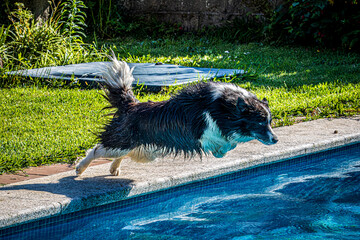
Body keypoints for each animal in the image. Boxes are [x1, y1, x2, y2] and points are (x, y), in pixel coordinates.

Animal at [76, 54, 278, 176]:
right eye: (261, 123)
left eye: (269, 122)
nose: (276, 139)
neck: (224, 106)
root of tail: (131, 105)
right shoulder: (202, 132)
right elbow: (227, 143)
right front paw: (219, 152)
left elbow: (231, 144)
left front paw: (220, 152)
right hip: (123, 142)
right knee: (97, 149)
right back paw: (80, 168)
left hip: (144, 150)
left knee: (122, 153)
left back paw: (114, 168)